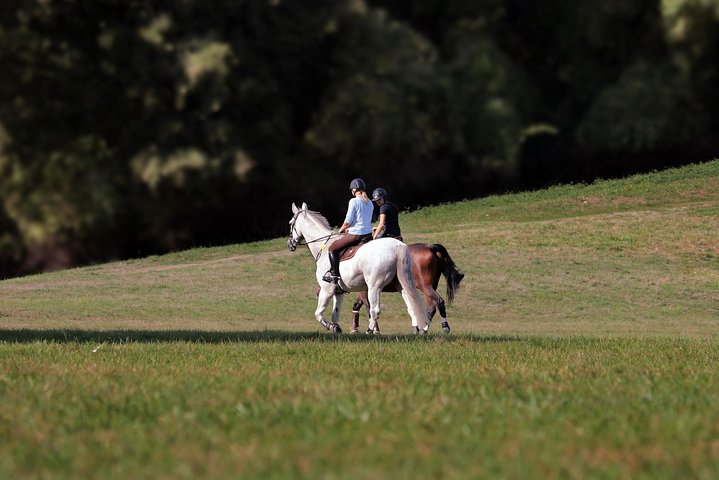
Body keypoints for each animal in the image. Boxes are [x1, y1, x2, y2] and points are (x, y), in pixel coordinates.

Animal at [288, 202, 429, 334]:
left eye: (290, 223)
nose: (290, 245)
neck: (323, 246)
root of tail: (398, 246)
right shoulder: (338, 292)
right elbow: (335, 314)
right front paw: (336, 328)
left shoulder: (326, 290)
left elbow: (318, 314)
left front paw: (331, 327)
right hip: (401, 285)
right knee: (411, 305)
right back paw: (418, 329)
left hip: (374, 287)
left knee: (375, 310)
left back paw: (369, 331)